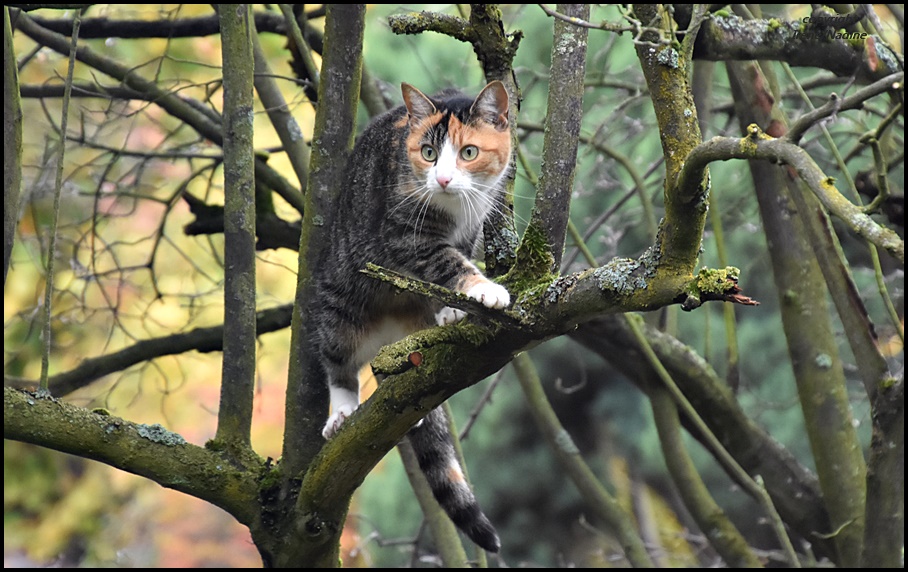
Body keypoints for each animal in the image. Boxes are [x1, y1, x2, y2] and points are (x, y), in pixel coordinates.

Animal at [310, 80, 510, 556]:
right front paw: (485, 288)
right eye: (428, 152)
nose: (443, 179)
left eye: (469, 152)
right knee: (339, 363)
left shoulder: (472, 228)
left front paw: (455, 307)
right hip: (337, 304)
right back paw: (342, 411)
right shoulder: (405, 234)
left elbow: (457, 260)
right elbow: (447, 262)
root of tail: (390, 333)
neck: (455, 209)